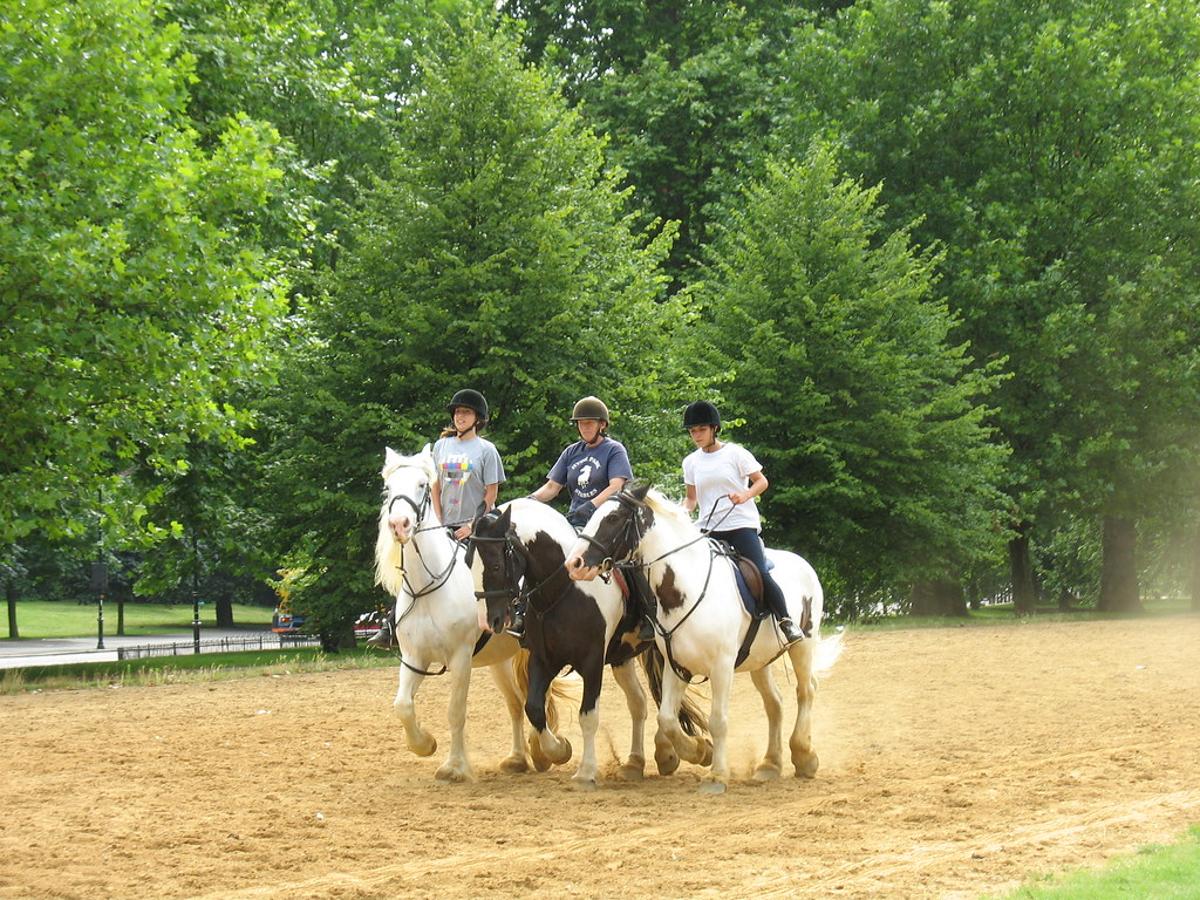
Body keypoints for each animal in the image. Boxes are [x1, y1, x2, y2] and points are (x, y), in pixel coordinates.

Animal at [369, 448, 530, 782]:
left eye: (421, 485)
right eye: (388, 489)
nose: (399, 524)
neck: (428, 588)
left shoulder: (460, 658)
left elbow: (455, 712)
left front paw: (454, 767)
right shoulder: (415, 657)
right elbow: (402, 705)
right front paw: (424, 744)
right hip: (500, 661)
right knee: (516, 703)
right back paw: (519, 758)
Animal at [564, 487, 840, 796]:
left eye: (612, 518)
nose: (574, 563)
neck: (687, 587)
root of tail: (804, 564)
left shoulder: (721, 667)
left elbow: (717, 721)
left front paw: (717, 775)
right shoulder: (677, 666)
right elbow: (667, 718)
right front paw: (699, 751)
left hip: (803, 645)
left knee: (806, 691)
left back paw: (805, 756)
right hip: (760, 661)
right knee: (775, 703)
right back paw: (769, 765)